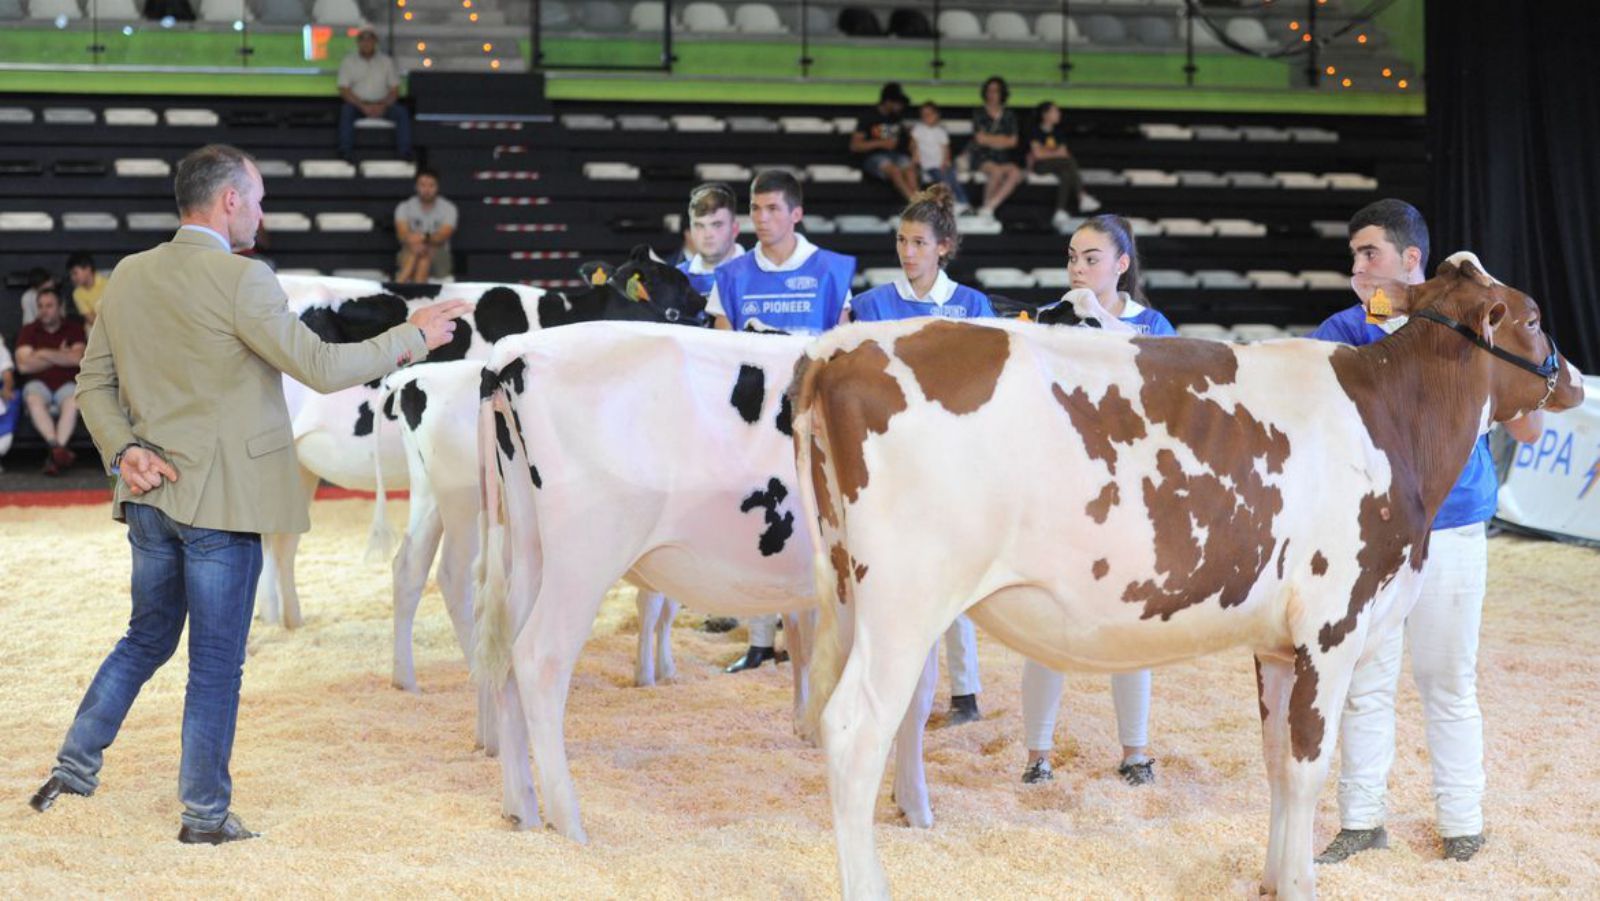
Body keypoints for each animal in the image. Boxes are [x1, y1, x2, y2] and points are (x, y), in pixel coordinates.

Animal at [467, 320, 934, 844]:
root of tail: (513, 350)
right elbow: (913, 698)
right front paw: (915, 805)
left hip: (531, 549)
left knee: (505, 656)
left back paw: (520, 809)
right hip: (585, 557)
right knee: (539, 658)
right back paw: (569, 824)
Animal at [793, 256, 1580, 901]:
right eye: (1533, 317)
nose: (1572, 379)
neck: (1390, 421)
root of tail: (840, 349)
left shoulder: (1277, 644)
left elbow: (1275, 763)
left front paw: (1272, 879)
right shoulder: (1331, 627)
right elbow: (1308, 767)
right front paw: (1301, 884)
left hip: (851, 592)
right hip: (905, 604)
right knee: (854, 729)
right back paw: (870, 887)